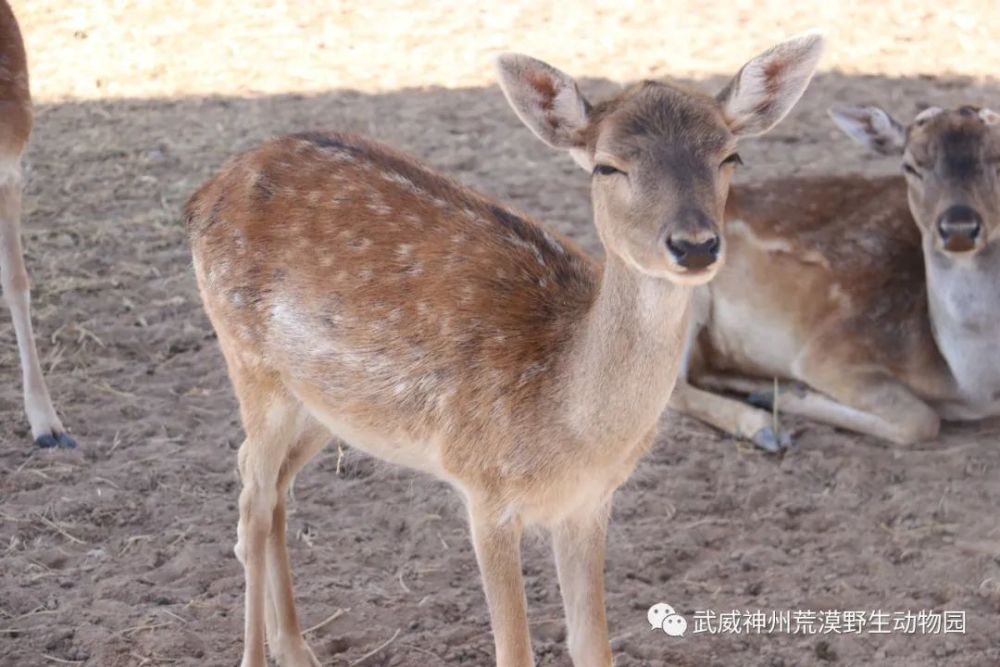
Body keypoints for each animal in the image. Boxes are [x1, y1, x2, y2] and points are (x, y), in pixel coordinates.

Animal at [186, 32, 820, 667]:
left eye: (731, 157)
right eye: (607, 165)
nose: (694, 246)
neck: (573, 432)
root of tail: (206, 191)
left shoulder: (590, 504)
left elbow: (593, 646)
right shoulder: (485, 490)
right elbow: (515, 651)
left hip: (324, 403)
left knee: (266, 482)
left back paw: (297, 648)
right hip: (250, 362)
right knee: (254, 496)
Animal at [668, 103, 1000, 448]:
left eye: (999, 158)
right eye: (910, 165)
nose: (959, 227)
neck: (971, 386)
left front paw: (782, 392)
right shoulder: (831, 348)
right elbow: (921, 420)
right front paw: (784, 399)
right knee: (675, 387)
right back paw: (764, 426)